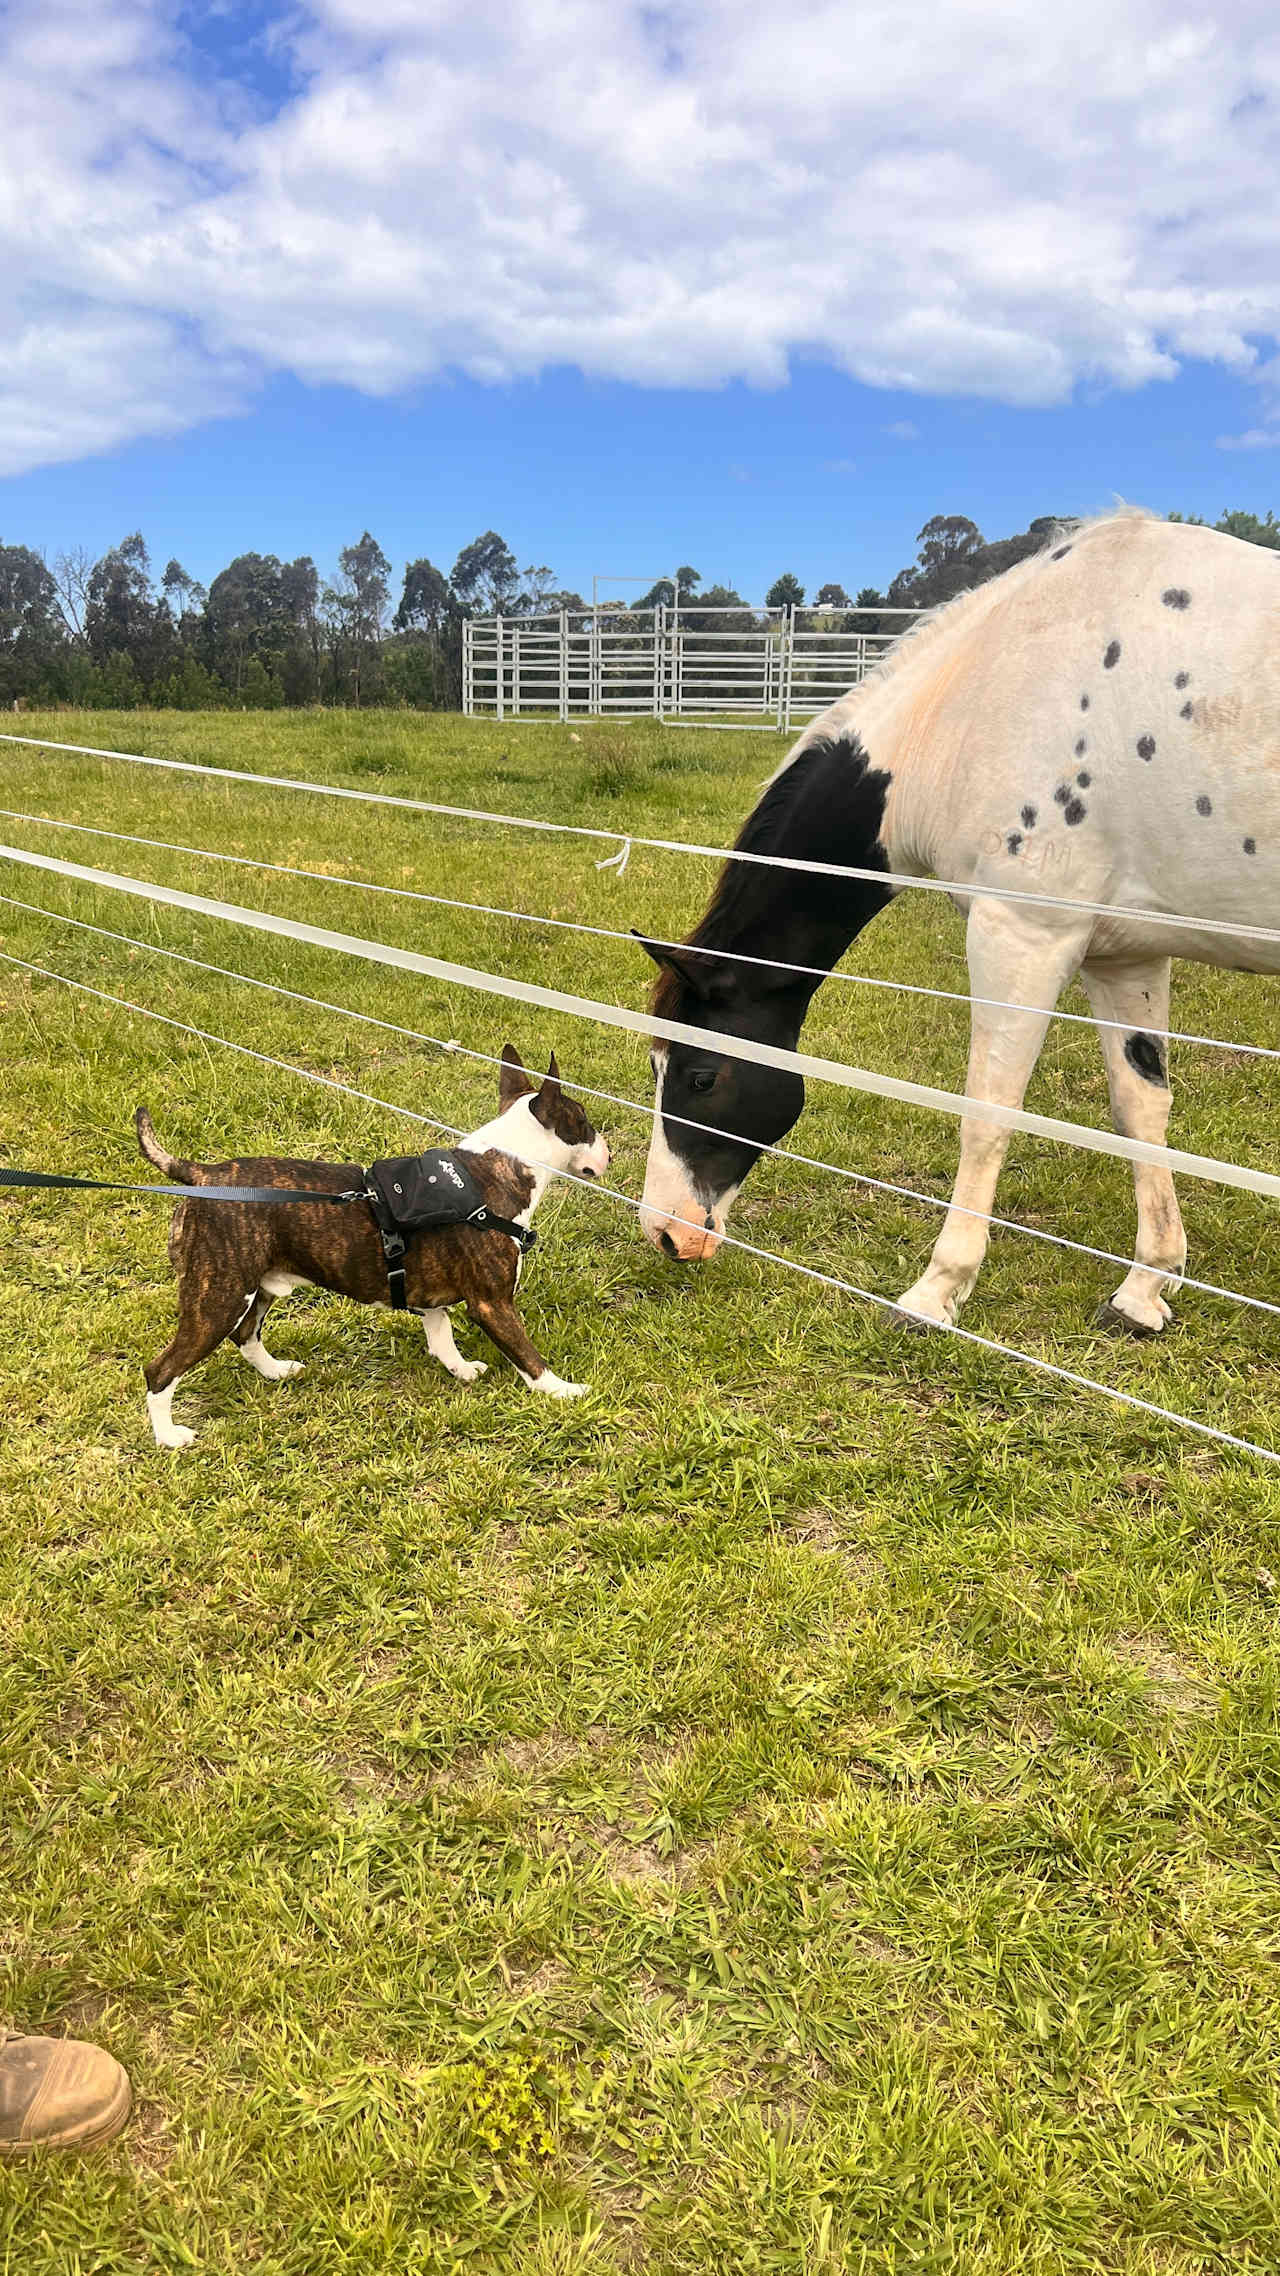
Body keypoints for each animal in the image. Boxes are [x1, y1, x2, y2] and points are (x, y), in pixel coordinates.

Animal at [134, 1042, 605, 1447]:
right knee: (161, 1369)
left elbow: (442, 1339)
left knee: (246, 1335)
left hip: (259, 1286)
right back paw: (169, 1436)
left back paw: (277, 1371)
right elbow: (527, 1356)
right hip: (219, 1297)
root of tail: (203, 1175)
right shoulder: (493, 1304)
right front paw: (564, 1391)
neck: (494, 1170)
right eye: (585, 1122)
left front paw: (462, 1370)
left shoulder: (430, 1297)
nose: (609, 1153)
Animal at [637, 512, 1275, 1329]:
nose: (665, 1230)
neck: (975, 703)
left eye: (701, 1076)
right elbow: (1141, 1110)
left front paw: (936, 1290)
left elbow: (986, 1117)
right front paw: (1144, 1289)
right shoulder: (1122, 958)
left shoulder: (1021, 937)